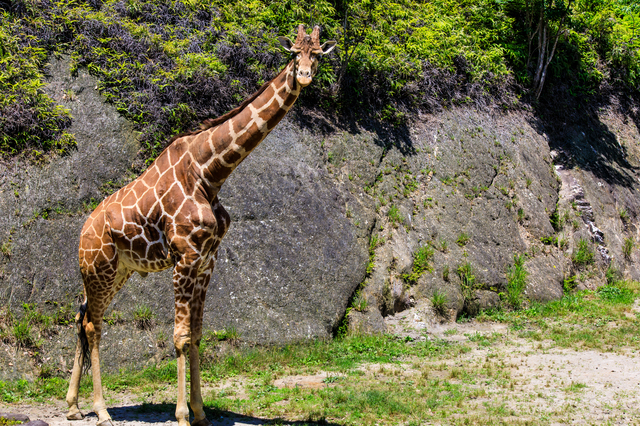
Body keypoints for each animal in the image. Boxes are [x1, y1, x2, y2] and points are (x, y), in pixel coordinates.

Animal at [64, 25, 336, 426]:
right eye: (293, 54)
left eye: (316, 54)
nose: (303, 76)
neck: (211, 173)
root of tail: (83, 230)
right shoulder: (185, 255)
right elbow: (179, 336)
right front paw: (180, 415)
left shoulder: (208, 258)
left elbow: (196, 334)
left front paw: (201, 412)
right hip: (99, 268)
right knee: (92, 324)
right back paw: (101, 410)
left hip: (115, 272)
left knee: (81, 315)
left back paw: (72, 405)